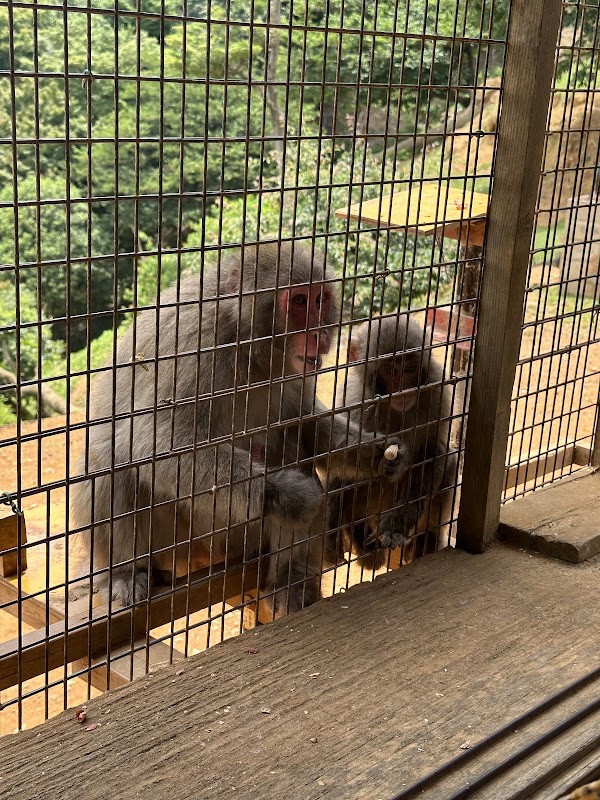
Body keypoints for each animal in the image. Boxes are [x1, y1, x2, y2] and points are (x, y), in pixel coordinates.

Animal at [71, 241, 409, 617]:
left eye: (321, 299)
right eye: (299, 301)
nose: (320, 334)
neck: (248, 345)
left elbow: (304, 422)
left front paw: (375, 454)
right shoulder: (195, 341)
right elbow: (154, 441)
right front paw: (286, 494)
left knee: (288, 440)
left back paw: (292, 578)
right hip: (180, 542)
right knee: (111, 457)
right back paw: (124, 573)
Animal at [328, 313, 459, 569]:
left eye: (409, 368)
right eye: (390, 370)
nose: (402, 391)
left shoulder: (437, 391)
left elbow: (433, 452)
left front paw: (395, 526)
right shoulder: (354, 400)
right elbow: (339, 457)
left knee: (448, 461)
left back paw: (427, 540)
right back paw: (358, 534)